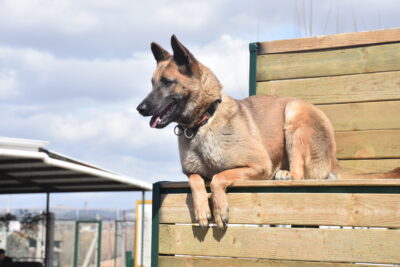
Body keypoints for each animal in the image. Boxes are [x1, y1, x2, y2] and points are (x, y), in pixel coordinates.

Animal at [138, 34, 400, 229]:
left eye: (167, 82)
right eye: (151, 83)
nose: (140, 108)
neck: (204, 121)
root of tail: (333, 159)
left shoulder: (259, 165)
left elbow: (219, 177)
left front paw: (219, 208)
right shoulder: (191, 172)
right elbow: (196, 180)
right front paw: (203, 208)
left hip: (294, 112)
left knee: (299, 174)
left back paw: (285, 174)